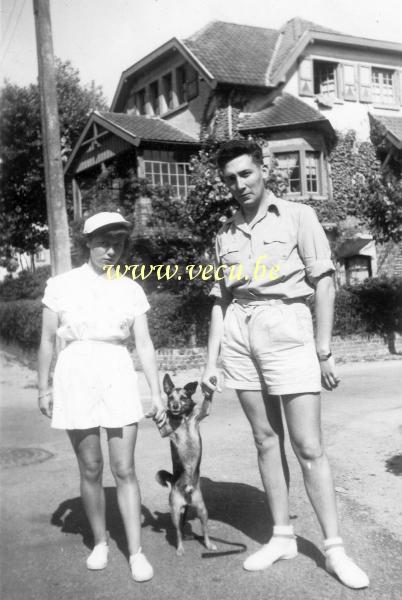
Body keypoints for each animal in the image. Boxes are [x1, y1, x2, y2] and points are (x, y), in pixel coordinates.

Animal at [156, 372, 217, 556]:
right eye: (170, 397)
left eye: (183, 397)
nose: (174, 405)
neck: (182, 418)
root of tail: (187, 495)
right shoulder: (165, 432)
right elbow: (162, 425)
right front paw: (154, 412)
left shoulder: (203, 412)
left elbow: (206, 401)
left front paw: (211, 384)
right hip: (175, 512)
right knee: (178, 533)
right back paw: (180, 548)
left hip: (203, 510)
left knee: (205, 531)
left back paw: (209, 544)